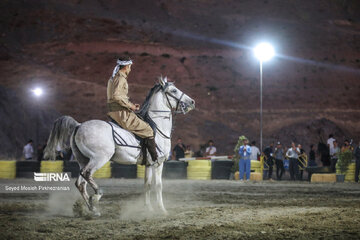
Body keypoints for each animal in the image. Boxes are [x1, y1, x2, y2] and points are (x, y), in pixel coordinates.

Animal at [43, 77, 195, 216]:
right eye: (173, 90)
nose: (192, 102)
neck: (157, 126)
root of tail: (79, 125)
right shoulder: (158, 163)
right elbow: (158, 186)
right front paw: (162, 210)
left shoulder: (148, 164)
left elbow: (147, 185)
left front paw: (149, 209)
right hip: (99, 159)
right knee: (86, 175)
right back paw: (97, 196)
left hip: (83, 160)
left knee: (81, 182)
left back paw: (92, 209)